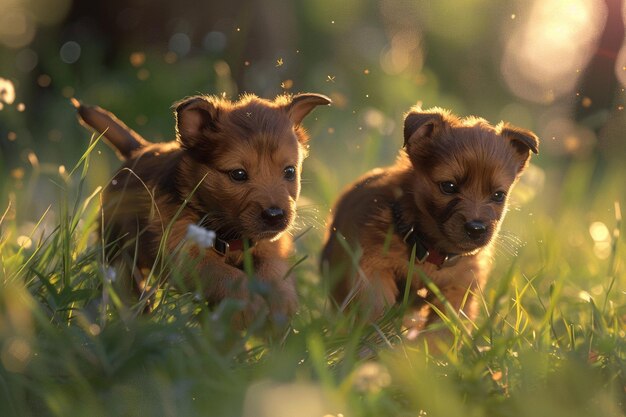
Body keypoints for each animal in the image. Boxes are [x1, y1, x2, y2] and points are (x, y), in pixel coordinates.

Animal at [74, 92, 332, 324]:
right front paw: (251, 306)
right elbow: (229, 277)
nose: (275, 215)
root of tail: (139, 149)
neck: (230, 237)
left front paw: (281, 303)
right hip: (116, 248)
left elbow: (276, 272)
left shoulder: (271, 246)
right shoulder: (187, 256)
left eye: (289, 171)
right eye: (238, 174)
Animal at [322, 105, 536, 346]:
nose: (476, 228)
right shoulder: (371, 265)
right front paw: (376, 341)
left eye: (499, 195)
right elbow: (376, 303)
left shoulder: (458, 290)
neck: (429, 249)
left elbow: (442, 331)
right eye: (448, 186)